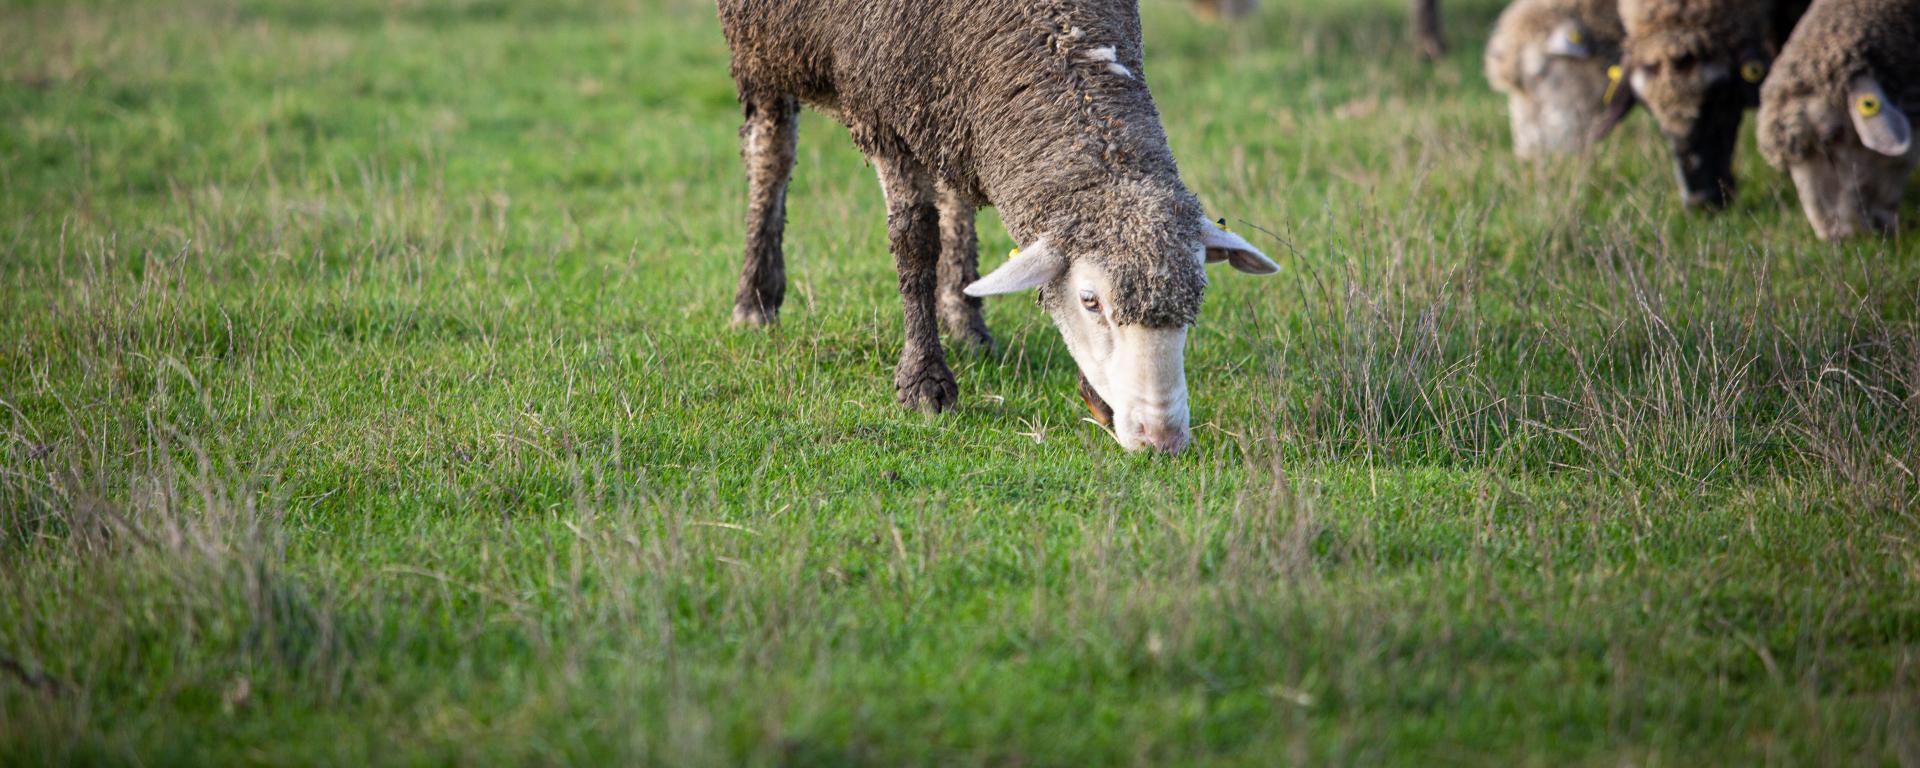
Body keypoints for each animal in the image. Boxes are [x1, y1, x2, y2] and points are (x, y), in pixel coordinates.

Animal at [718, 0, 1274, 456]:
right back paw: (756, 299)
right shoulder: (882, 114)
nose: (1162, 440)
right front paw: (924, 382)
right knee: (770, 152)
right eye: (1090, 301)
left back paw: (964, 318)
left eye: (1196, 298)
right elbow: (913, 240)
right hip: (761, 48)